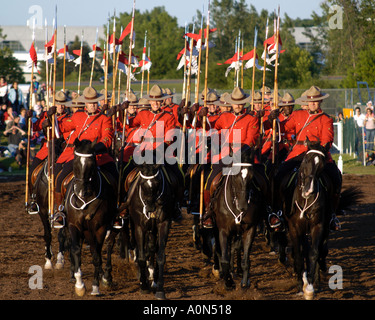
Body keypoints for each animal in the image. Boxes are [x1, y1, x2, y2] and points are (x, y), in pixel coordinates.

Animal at [64, 139, 117, 296]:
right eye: (75, 162)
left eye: (92, 164)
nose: (81, 191)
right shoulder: (74, 226)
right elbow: (76, 250)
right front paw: (79, 284)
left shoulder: (100, 228)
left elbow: (97, 256)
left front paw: (95, 286)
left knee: (107, 245)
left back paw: (106, 277)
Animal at [125, 161, 174, 298]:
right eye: (142, 183)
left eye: (158, 183)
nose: (150, 208)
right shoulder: (139, 227)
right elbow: (141, 256)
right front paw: (143, 285)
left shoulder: (164, 224)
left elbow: (160, 255)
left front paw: (160, 288)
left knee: (152, 248)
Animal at [212, 148, 268, 290]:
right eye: (235, 175)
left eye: (252, 177)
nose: (243, 206)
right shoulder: (223, 230)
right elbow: (225, 258)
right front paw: (228, 282)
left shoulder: (250, 229)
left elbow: (245, 258)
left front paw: (244, 281)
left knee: (235, 247)